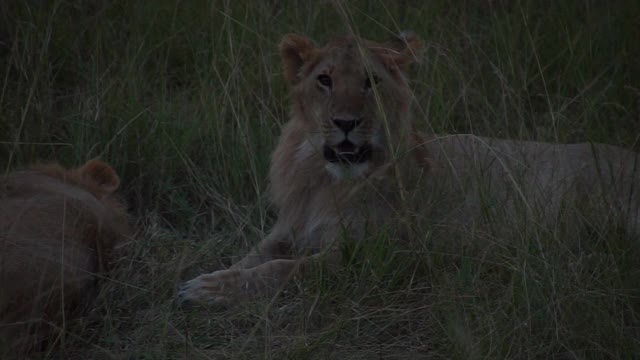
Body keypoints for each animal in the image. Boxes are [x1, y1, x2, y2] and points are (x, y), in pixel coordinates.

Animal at [176, 32, 640, 306]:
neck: (323, 180)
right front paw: (206, 279)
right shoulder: (287, 230)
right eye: (324, 80)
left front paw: (212, 291)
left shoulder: (374, 254)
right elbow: (251, 257)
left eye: (371, 82)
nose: (346, 123)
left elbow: (284, 270)